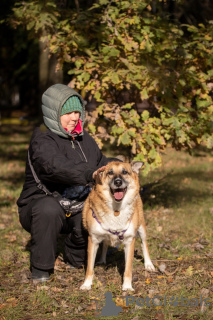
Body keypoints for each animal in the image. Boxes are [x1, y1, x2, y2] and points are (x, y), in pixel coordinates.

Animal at [80, 161, 155, 292]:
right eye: (110, 172)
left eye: (125, 172)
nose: (118, 182)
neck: (116, 209)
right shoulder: (93, 239)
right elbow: (89, 267)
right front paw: (87, 284)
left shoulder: (129, 241)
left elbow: (128, 269)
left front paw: (127, 286)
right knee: (105, 244)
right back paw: (102, 260)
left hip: (141, 228)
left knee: (144, 244)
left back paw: (148, 264)